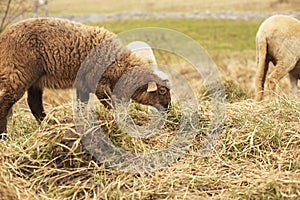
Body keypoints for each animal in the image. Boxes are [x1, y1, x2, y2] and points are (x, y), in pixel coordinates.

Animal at [0, 17, 171, 138]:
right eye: (162, 91)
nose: (168, 108)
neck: (120, 66)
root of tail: (4, 37)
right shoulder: (99, 83)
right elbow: (110, 103)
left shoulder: (83, 85)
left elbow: (82, 105)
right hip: (17, 73)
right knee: (5, 102)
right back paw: (4, 136)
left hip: (35, 80)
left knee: (34, 103)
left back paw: (49, 125)